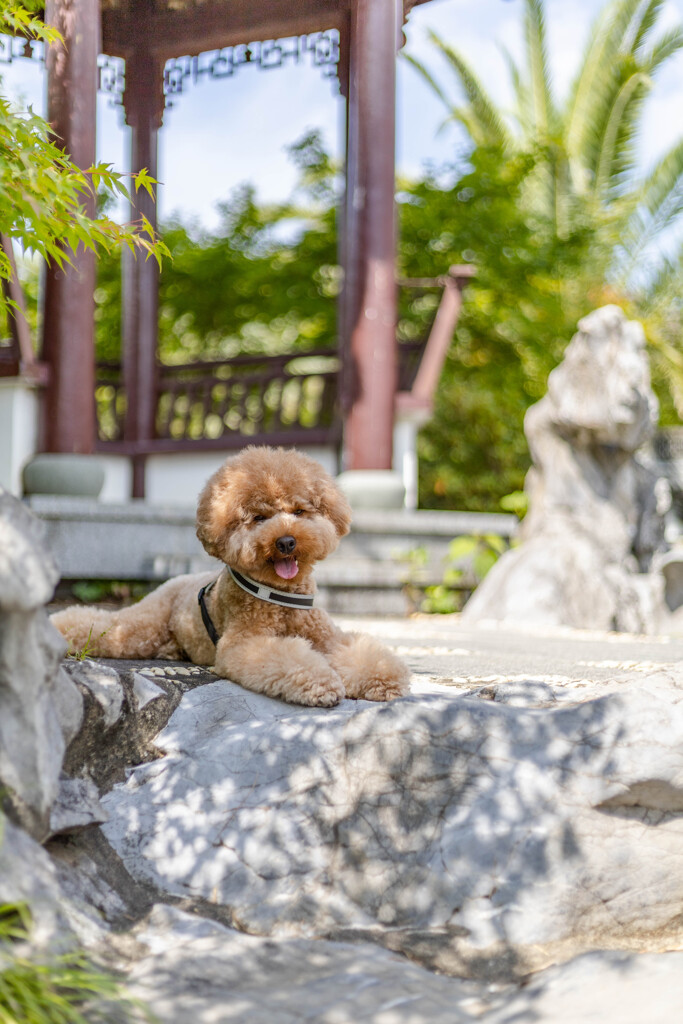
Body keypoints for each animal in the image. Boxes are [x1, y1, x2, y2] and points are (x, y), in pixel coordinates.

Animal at [52, 444, 411, 708]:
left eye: (299, 512)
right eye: (259, 517)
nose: (286, 541)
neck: (279, 596)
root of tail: (176, 579)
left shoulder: (329, 638)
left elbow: (359, 654)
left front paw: (383, 679)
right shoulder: (244, 644)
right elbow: (288, 657)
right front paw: (320, 683)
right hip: (140, 627)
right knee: (100, 625)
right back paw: (58, 626)